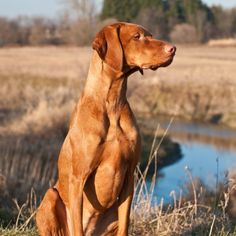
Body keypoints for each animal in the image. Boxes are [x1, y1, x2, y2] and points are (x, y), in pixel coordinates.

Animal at [35, 22, 175, 236]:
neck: (112, 103)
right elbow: (77, 226)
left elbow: (125, 225)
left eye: (150, 35)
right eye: (136, 36)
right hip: (51, 196)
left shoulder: (129, 177)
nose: (173, 49)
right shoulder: (78, 179)